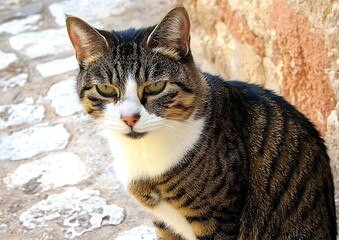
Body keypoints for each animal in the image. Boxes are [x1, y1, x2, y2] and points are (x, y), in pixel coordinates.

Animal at [65, 4, 338, 240]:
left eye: (156, 86)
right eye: (105, 89)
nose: (129, 117)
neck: (143, 154)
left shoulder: (218, 217)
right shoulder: (164, 223)